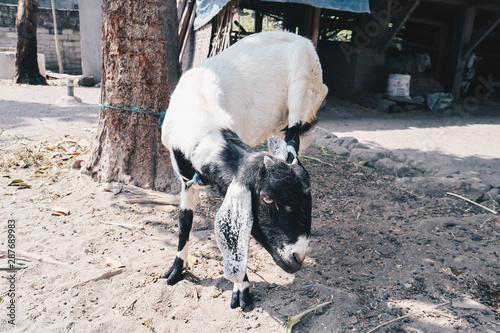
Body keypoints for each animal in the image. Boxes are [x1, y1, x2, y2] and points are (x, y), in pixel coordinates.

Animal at [162, 29, 330, 310]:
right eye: (268, 198)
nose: (297, 258)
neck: (204, 121)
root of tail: (298, 37)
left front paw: (241, 289)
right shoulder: (186, 179)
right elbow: (185, 221)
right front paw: (176, 269)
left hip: (304, 89)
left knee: (294, 140)